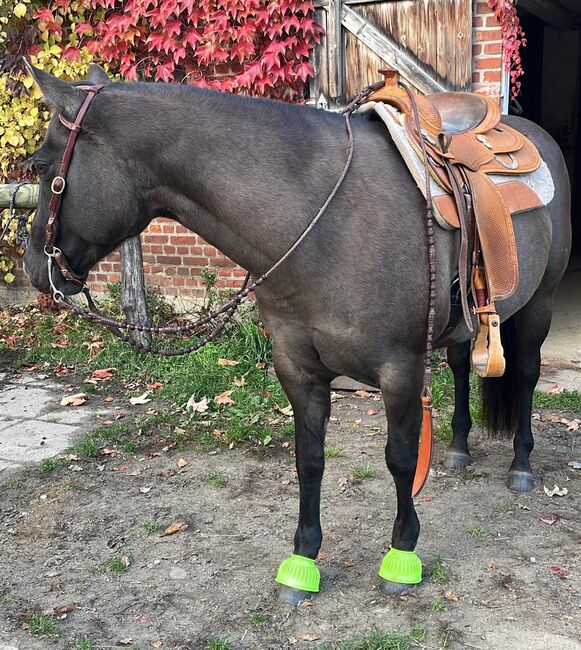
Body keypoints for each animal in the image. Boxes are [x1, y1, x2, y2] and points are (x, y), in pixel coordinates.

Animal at [22, 64, 572, 604]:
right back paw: (457, 448)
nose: (32, 267)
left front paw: (401, 554)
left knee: (526, 374)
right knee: (461, 368)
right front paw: (303, 561)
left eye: (43, 168)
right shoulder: (298, 369)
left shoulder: (400, 370)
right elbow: (308, 461)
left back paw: (521, 464)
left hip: (538, 304)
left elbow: (399, 459)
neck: (322, 220)